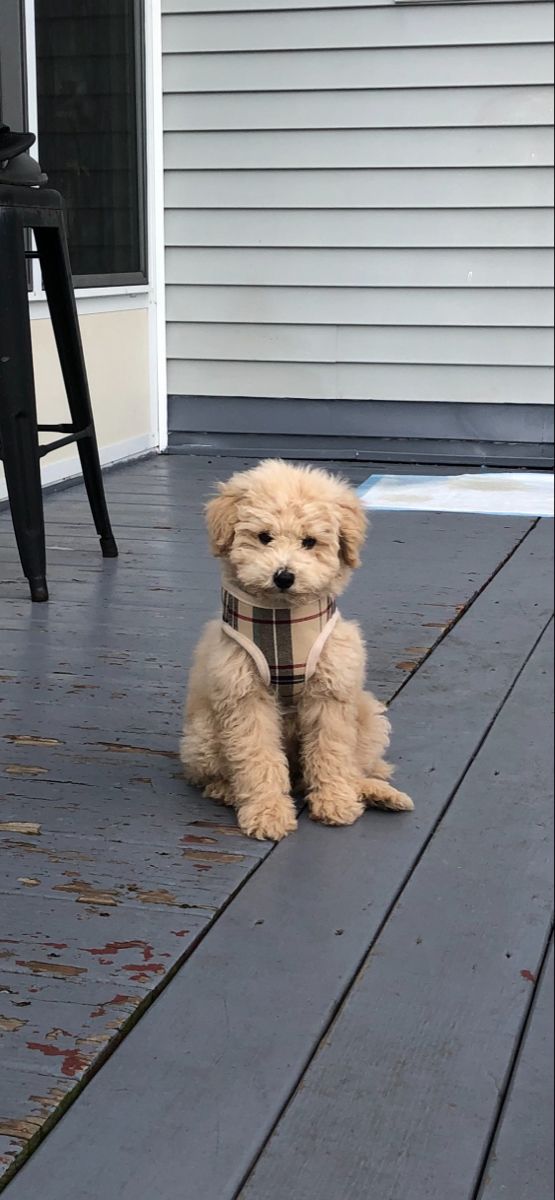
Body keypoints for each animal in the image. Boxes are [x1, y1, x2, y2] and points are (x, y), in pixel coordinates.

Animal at [178, 458, 410, 844]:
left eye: (309, 542)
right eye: (264, 537)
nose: (284, 576)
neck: (281, 619)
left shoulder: (330, 692)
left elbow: (332, 751)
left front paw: (335, 802)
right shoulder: (245, 697)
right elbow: (257, 758)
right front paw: (267, 813)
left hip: (368, 715)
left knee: (355, 764)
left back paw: (373, 791)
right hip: (203, 733)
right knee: (215, 773)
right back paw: (226, 790)